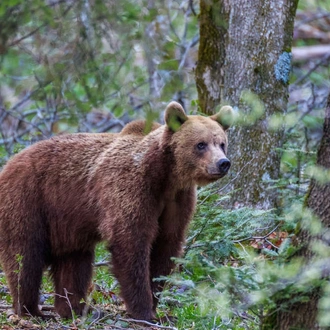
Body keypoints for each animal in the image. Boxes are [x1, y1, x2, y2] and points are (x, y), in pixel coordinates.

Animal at [0, 102, 233, 320]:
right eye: (201, 144)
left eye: (221, 143)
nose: (223, 163)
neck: (165, 176)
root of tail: (9, 163)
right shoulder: (131, 187)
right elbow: (131, 242)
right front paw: (142, 309)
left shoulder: (177, 201)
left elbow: (166, 245)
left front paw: (156, 304)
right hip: (28, 199)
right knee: (25, 256)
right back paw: (31, 310)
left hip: (67, 224)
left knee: (74, 263)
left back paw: (75, 308)